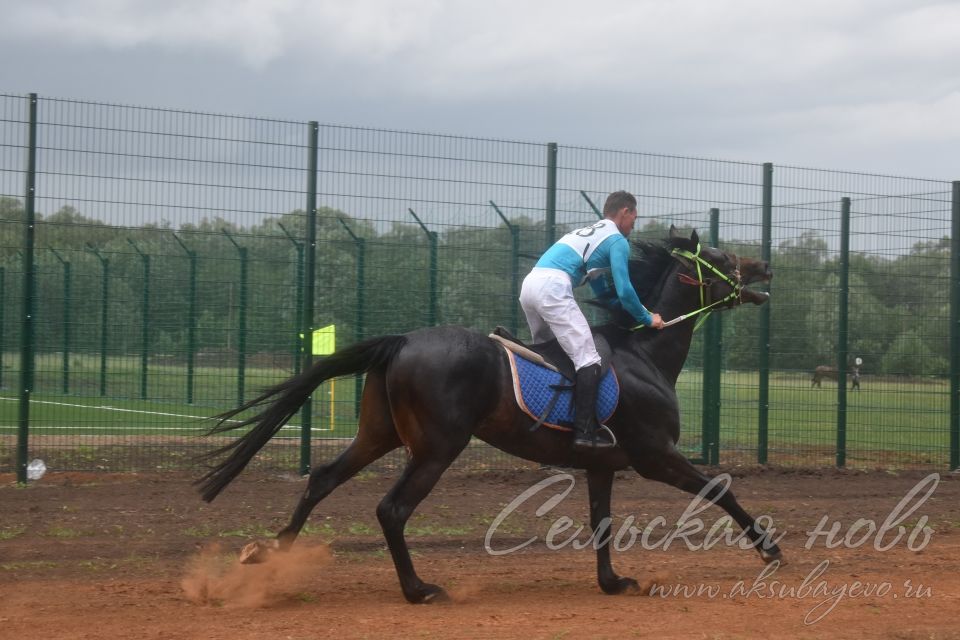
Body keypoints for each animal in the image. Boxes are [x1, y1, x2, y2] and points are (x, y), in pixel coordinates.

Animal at [195, 228, 780, 604]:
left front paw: (613, 582)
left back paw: (269, 552)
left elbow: (601, 522)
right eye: (723, 256)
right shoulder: (655, 456)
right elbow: (720, 491)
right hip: (437, 447)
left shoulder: (602, 464)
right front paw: (771, 549)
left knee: (322, 478)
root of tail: (403, 339)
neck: (643, 352)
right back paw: (418, 590)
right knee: (392, 509)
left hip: (379, 436)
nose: (765, 267)